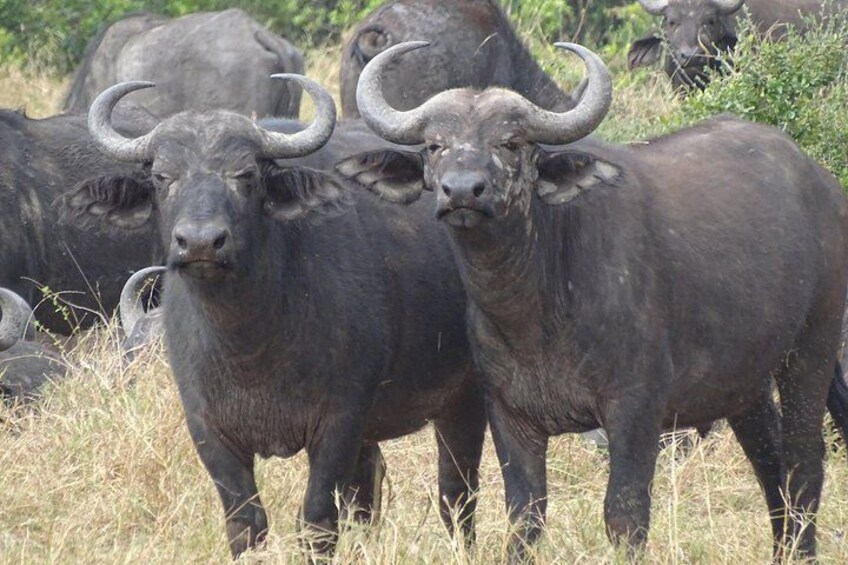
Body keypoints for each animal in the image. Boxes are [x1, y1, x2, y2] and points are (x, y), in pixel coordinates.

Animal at [63, 76, 485, 558]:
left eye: (246, 175)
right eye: (161, 176)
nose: (201, 242)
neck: (250, 341)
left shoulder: (339, 422)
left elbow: (318, 521)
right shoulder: (209, 430)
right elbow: (245, 524)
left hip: (464, 398)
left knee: (456, 492)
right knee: (369, 494)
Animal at [341, 41, 848, 560]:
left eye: (511, 143)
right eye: (433, 145)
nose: (462, 190)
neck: (536, 312)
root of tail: (822, 185)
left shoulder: (635, 410)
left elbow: (624, 514)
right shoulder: (509, 413)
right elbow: (524, 515)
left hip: (812, 348)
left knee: (803, 462)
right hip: (745, 382)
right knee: (769, 461)